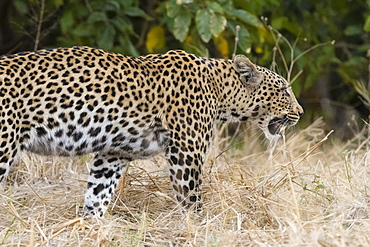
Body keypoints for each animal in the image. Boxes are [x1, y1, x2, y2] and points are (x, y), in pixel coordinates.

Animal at [0, 45, 304, 216]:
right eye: (283, 90)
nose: (300, 113)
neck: (219, 90)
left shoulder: (113, 154)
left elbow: (98, 195)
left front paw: (90, 228)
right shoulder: (186, 153)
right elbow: (191, 200)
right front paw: (200, 228)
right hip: (3, 145)